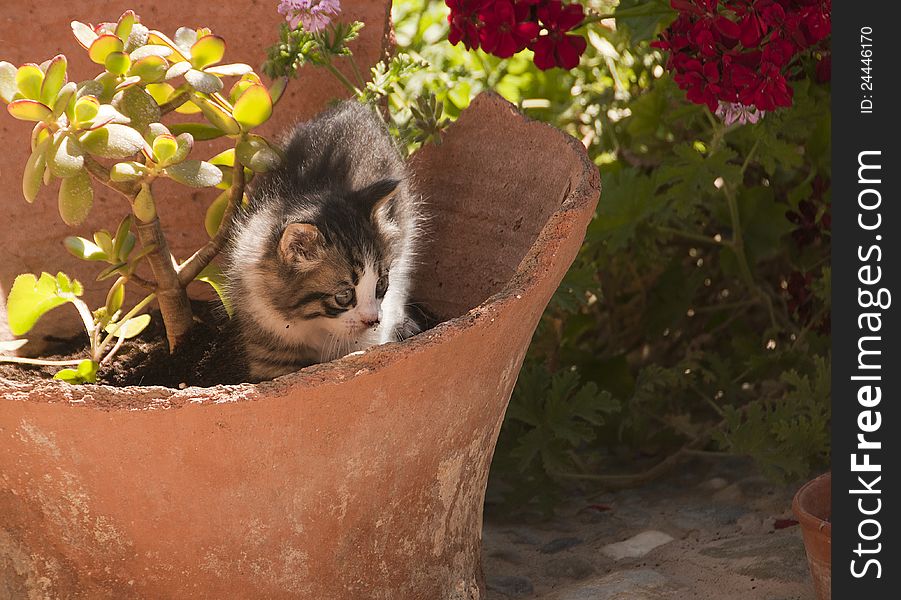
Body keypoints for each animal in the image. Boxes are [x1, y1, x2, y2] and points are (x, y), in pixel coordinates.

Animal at [225, 98, 422, 380]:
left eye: (381, 284)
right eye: (344, 296)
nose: (373, 320)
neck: (313, 324)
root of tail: (353, 106)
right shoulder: (267, 338)